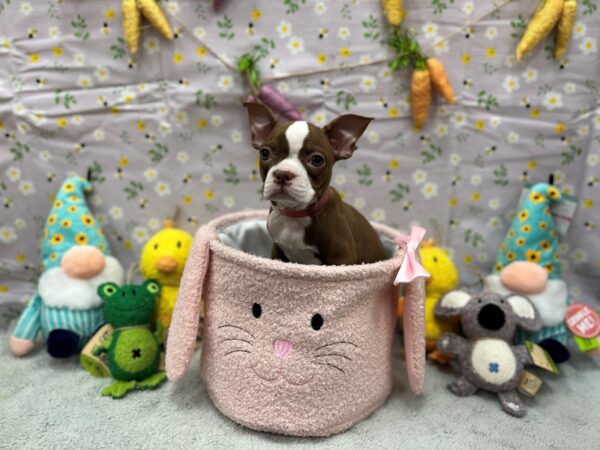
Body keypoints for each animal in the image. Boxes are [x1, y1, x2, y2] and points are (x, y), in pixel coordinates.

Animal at [245, 103, 390, 264]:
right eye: (264, 153)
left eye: (316, 160)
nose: (283, 174)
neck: (294, 214)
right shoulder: (278, 251)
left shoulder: (342, 258)